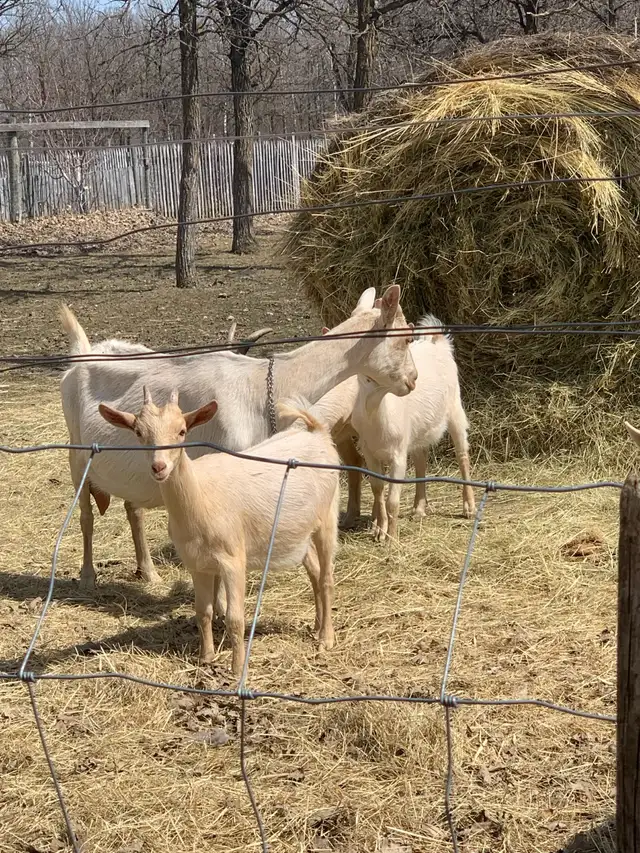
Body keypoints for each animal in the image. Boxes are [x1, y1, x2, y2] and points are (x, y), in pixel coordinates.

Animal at [60, 285, 417, 587]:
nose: (412, 380)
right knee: (86, 516)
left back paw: (148, 573)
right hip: (76, 454)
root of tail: (83, 353)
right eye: (406, 338)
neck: (261, 388)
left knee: (133, 510)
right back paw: (89, 576)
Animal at [98, 387, 339, 677]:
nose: (159, 467)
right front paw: (206, 658)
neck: (201, 498)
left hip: (328, 516)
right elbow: (203, 611)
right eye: (138, 432)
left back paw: (326, 638)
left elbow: (235, 618)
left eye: (182, 431)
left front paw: (237, 668)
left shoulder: (233, 559)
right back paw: (316, 626)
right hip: (296, 531)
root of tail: (317, 433)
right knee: (314, 570)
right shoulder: (196, 563)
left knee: (326, 578)